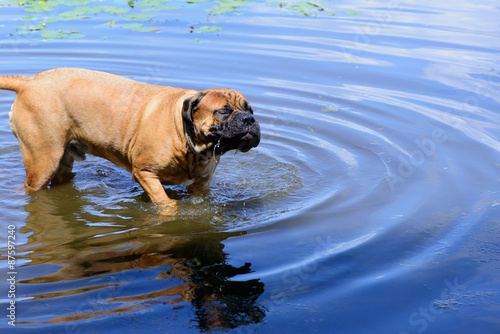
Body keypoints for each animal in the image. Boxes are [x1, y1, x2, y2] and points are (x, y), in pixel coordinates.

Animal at [0, 68, 262, 214]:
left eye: (250, 109)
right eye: (223, 111)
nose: (249, 120)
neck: (188, 140)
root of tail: (29, 81)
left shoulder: (201, 187)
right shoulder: (145, 173)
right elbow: (166, 204)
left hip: (62, 163)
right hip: (42, 163)